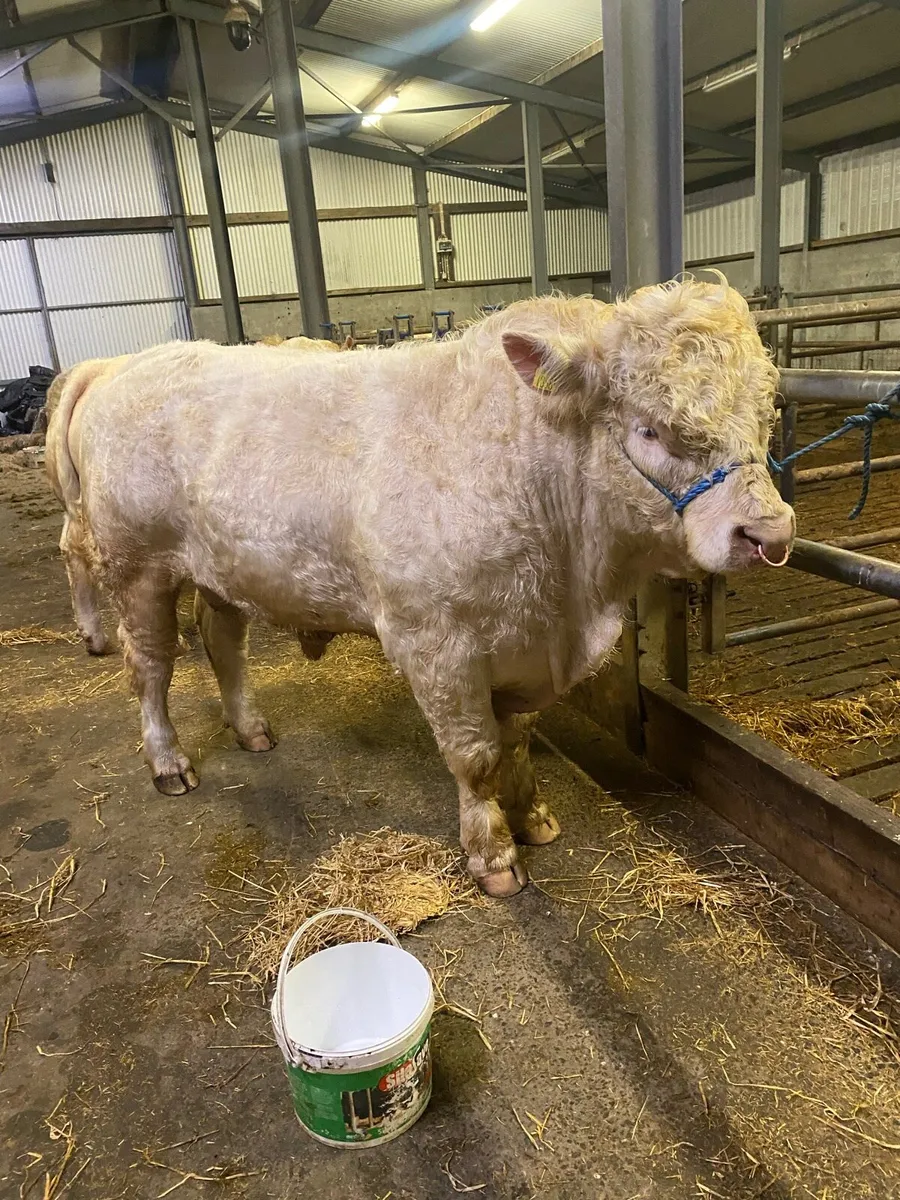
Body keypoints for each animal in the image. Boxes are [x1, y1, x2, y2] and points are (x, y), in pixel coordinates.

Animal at [45, 280, 794, 896]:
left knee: (222, 641)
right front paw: (494, 854)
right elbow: (476, 754)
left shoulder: (522, 641)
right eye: (652, 429)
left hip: (224, 566)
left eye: (765, 416)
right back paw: (167, 760)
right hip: (138, 566)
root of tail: (117, 365)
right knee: (151, 666)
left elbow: (517, 739)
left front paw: (532, 815)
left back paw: (251, 728)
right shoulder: (438, 643)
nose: (769, 532)